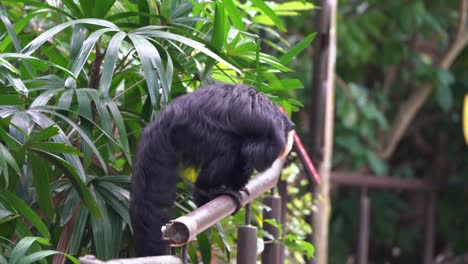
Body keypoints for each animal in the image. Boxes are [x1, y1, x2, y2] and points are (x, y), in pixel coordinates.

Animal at [130, 82, 294, 256]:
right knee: (229, 145)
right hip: (192, 131)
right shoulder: (275, 135)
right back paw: (205, 190)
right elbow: (251, 153)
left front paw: (239, 185)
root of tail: (164, 119)